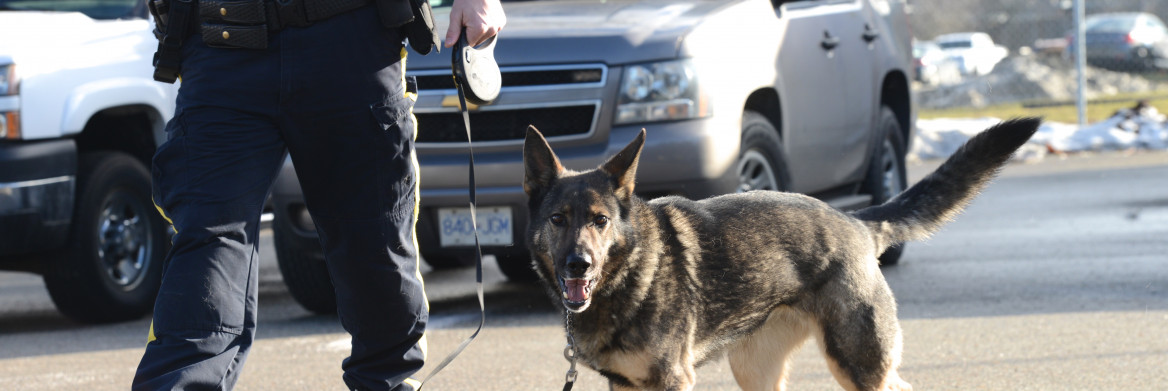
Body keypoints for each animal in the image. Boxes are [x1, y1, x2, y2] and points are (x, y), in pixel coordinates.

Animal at [520, 119, 1041, 391]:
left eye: (600, 221)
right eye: (558, 220)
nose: (578, 265)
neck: (629, 276)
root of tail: (855, 221)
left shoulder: (671, 381)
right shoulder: (626, 384)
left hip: (857, 365)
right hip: (756, 370)